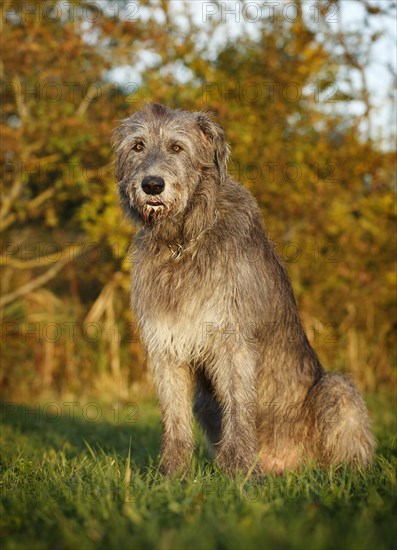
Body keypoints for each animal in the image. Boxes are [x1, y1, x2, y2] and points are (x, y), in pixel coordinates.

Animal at [113, 104, 374, 478]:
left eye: (177, 147)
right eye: (137, 146)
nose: (152, 185)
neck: (182, 240)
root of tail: (289, 465)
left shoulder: (232, 340)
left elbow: (238, 408)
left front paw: (240, 473)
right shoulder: (166, 346)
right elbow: (173, 416)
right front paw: (172, 474)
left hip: (336, 390)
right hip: (204, 402)